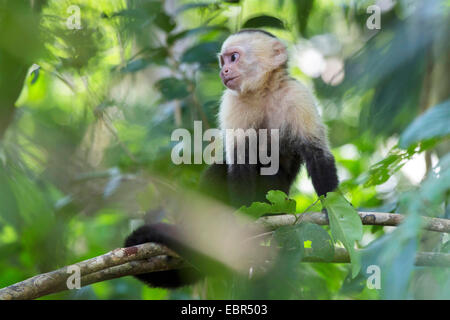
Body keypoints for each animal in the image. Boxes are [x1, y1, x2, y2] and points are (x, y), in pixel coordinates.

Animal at [125, 30, 340, 288]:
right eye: (223, 61)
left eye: (234, 57)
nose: (224, 71)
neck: (263, 91)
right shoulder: (232, 102)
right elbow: (239, 163)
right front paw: (244, 223)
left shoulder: (298, 96)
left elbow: (317, 153)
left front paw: (333, 208)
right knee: (219, 169)